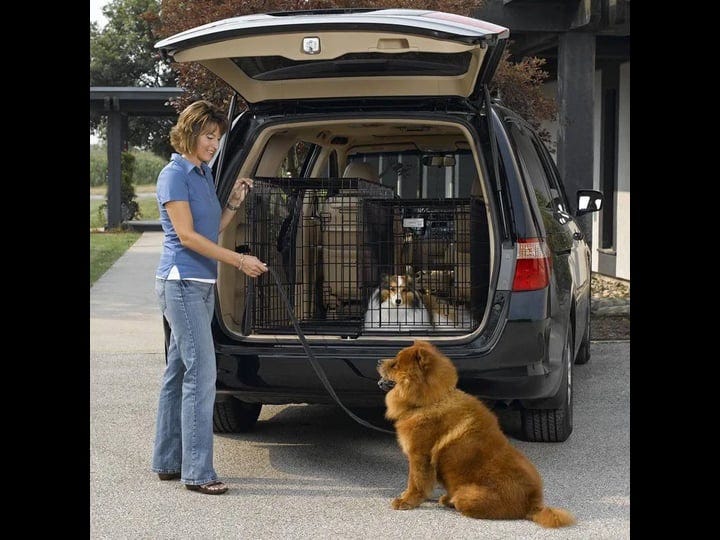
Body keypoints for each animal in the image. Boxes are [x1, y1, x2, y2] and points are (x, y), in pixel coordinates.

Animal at [376, 342, 572, 528]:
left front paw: (405, 501)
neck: (431, 400)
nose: (378, 361)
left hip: (466, 494)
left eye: (395, 364)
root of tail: (533, 503)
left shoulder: (419, 455)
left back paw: (450, 501)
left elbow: (415, 482)